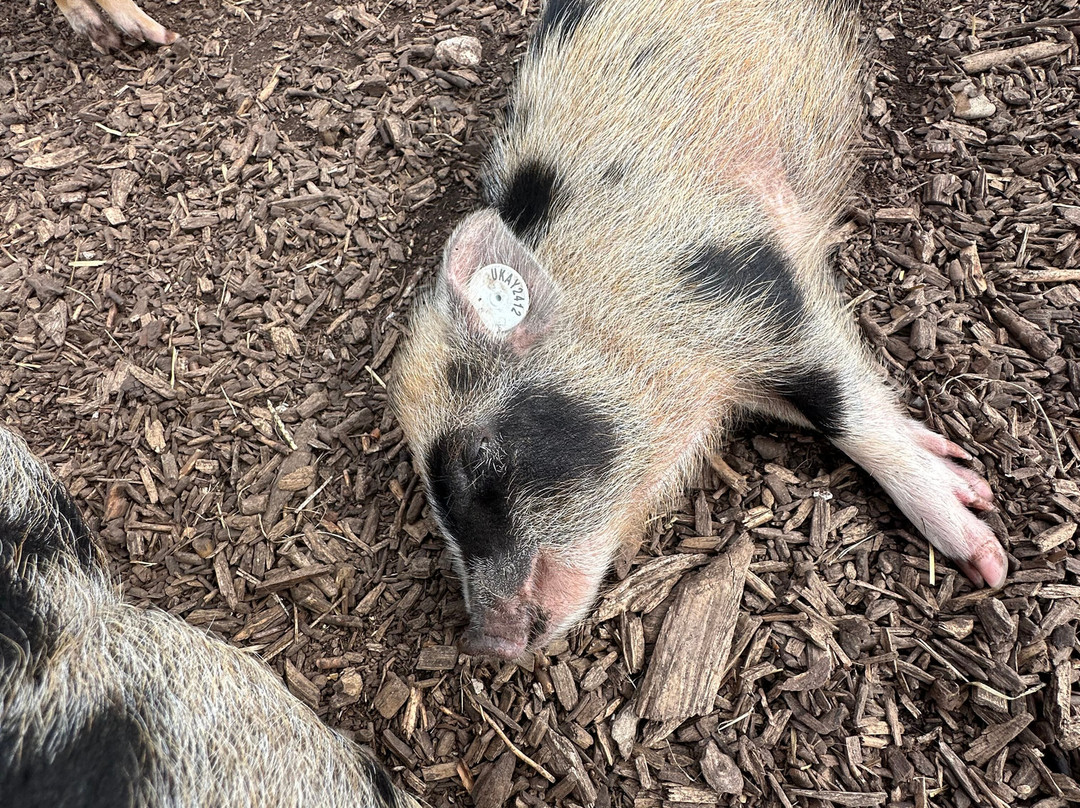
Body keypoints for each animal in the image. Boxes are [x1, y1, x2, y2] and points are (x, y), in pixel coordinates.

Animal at [391, 0, 1010, 660]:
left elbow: (844, 410)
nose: (483, 643)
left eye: (478, 459)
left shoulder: (759, 285)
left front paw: (987, 551)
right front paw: (964, 476)